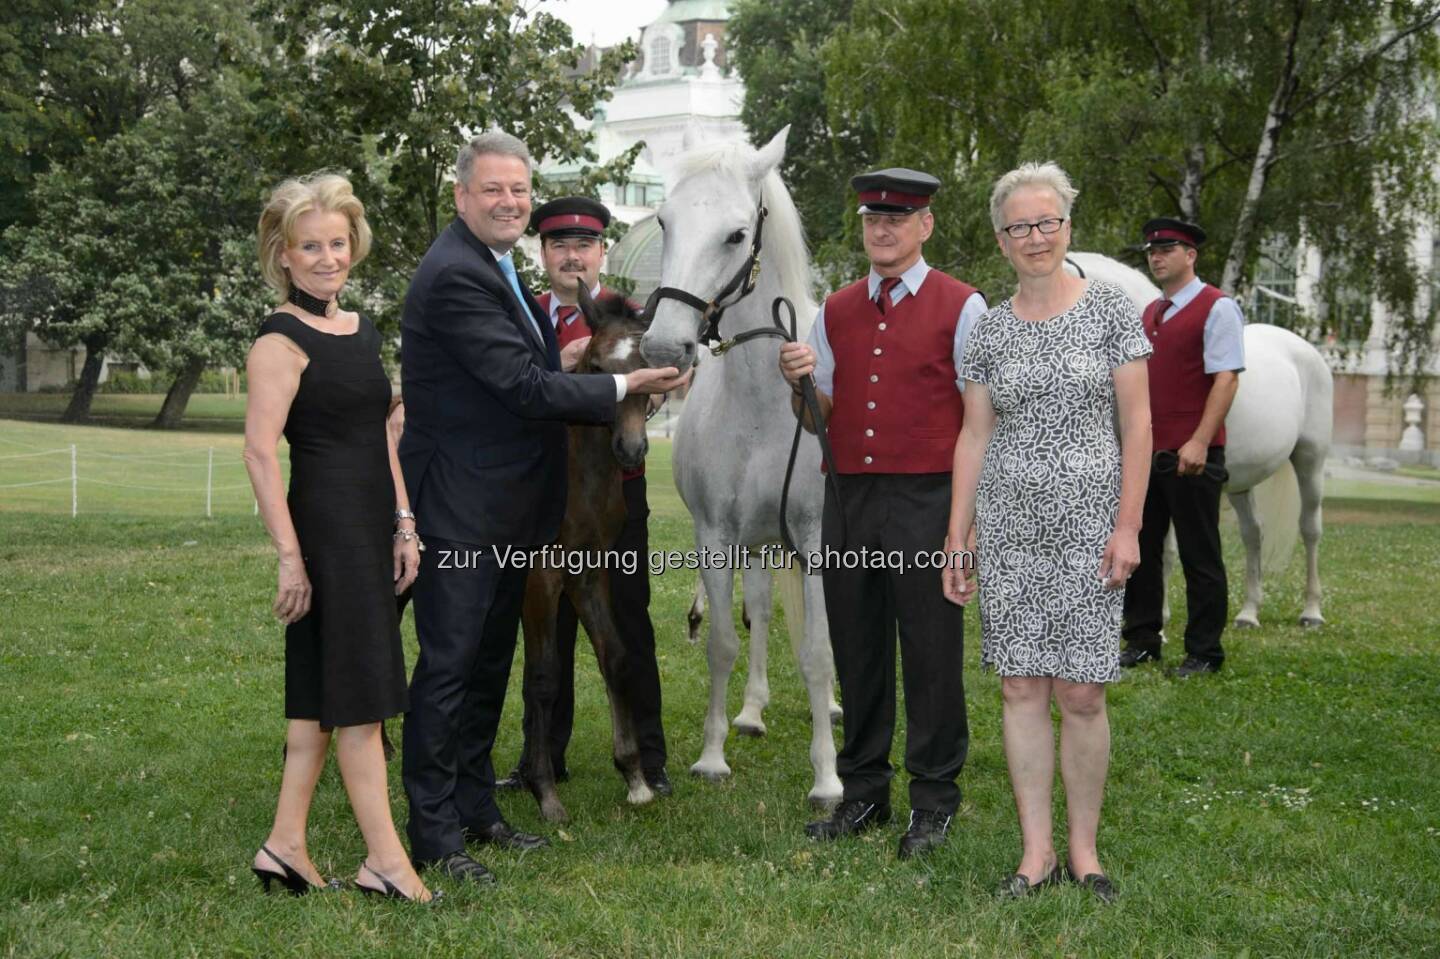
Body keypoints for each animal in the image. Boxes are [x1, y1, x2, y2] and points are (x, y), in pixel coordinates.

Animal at [642, 123, 840, 800]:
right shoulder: (717, 536)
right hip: (758, 543)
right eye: (664, 220)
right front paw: (711, 755)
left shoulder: (815, 538)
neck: (762, 401)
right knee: (758, 608)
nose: (662, 347)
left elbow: (816, 651)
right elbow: (725, 642)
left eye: (735, 234)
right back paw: (752, 711)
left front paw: (828, 775)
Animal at [1071, 250, 1324, 624]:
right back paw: (1248, 612)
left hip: (1311, 460)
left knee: (1310, 529)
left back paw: (1312, 611)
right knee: (1254, 534)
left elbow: (1163, 551)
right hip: (1239, 482)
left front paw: (1159, 619)